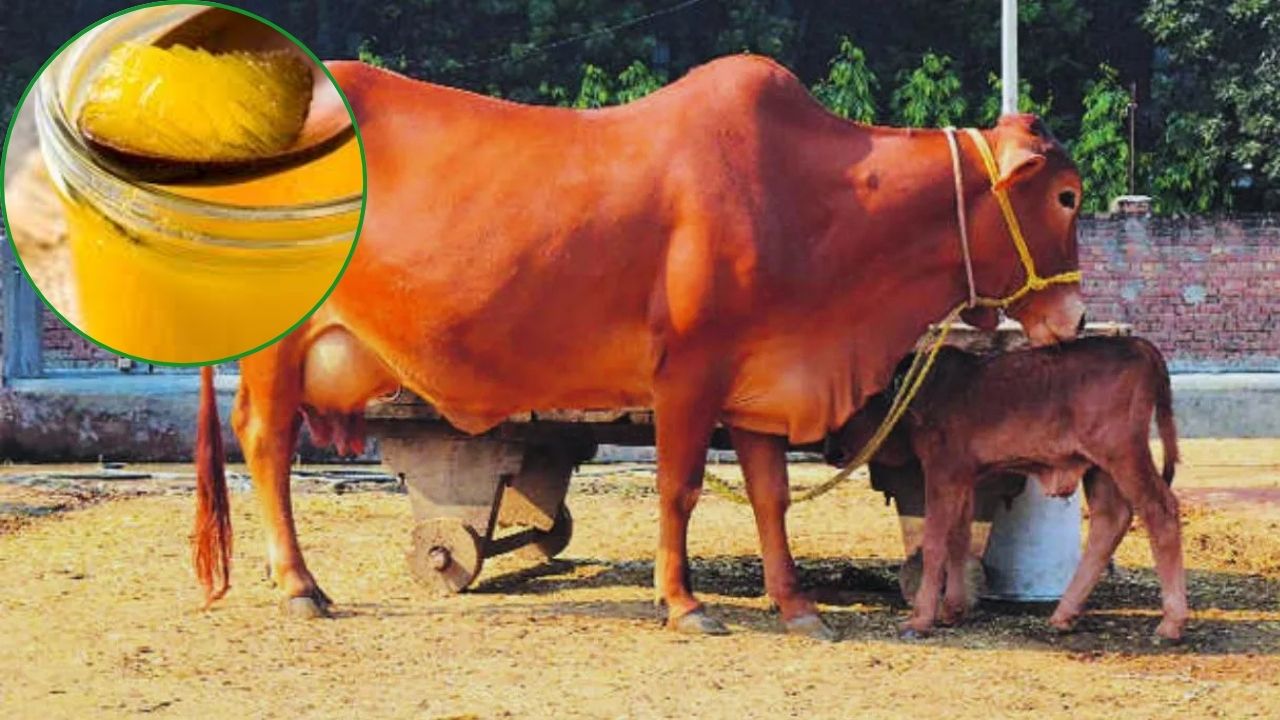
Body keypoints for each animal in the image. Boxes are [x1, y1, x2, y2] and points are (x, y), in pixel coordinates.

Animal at [192, 55, 1086, 638]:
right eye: (1068, 196)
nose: (1076, 319)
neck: (815, 201)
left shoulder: (759, 381)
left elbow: (771, 498)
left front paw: (795, 604)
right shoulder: (688, 372)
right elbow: (679, 490)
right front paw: (684, 603)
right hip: (274, 345)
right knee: (266, 443)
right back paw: (300, 585)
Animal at [825, 336, 1186, 642]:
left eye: (853, 403)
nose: (830, 450)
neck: (918, 389)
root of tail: (1138, 344)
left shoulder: (942, 472)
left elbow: (935, 544)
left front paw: (920, 619)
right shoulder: (964, 477)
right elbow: (958, 539)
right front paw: (952, 609)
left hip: (1123, 454)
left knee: (1161, 511)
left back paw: (1171, 623)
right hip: (1098, 468)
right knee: (1110, 521)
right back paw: (1064, 615)